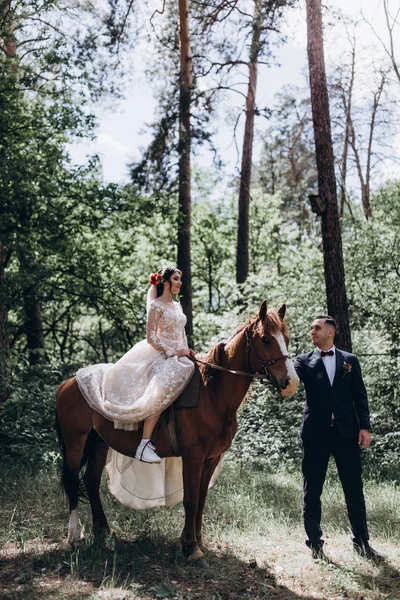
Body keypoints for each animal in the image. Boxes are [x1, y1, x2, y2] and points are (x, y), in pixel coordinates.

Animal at [54, 302, 298, 564]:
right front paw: (191, 548)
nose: (291, 382)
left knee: (90, 480)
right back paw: (75, 535)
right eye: (266, 339)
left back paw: (104, 530)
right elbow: (190, 500)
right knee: (72, 480)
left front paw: (196, 541)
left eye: (286, 338)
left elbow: (201, 500)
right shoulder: (193, 456)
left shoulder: (211, 459)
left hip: (99, 443)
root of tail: (68, 383)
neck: (212, 395)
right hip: (75, 442)